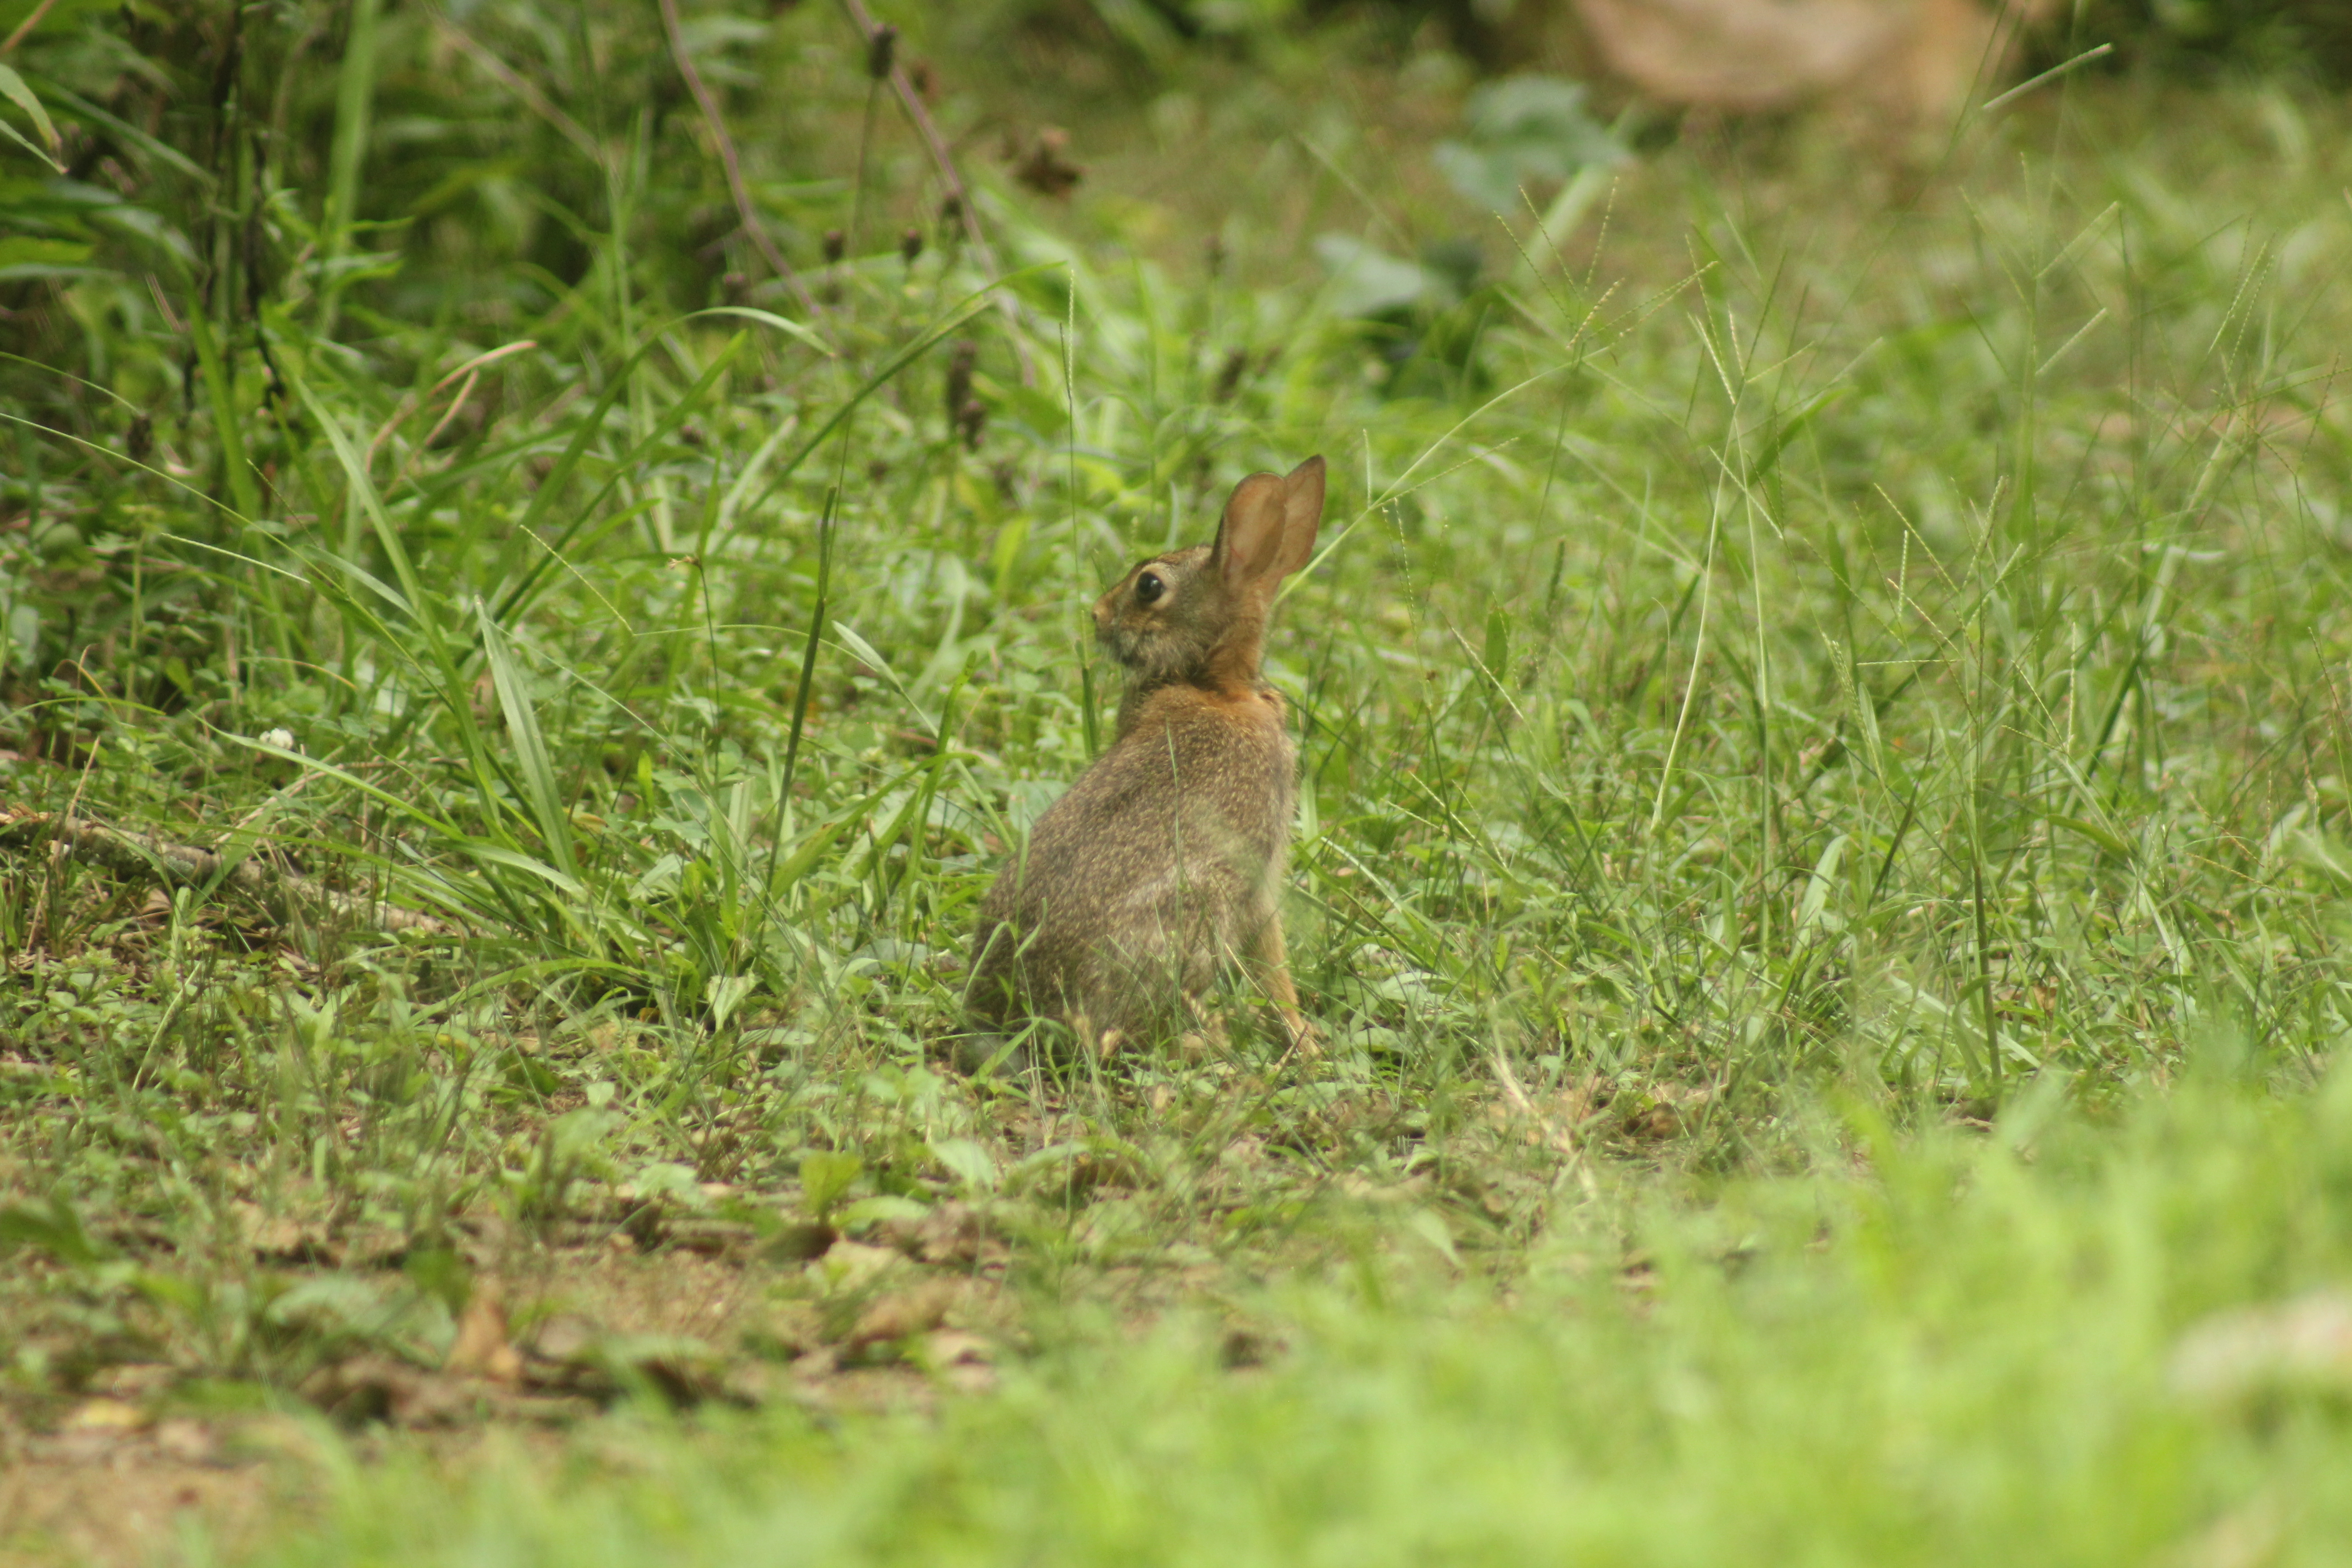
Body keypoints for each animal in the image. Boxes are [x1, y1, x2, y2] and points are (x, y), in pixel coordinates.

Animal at [965, 455, 1326, 1067]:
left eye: (1149, 586)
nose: (1096, 616)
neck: (1214, 683)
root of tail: (1015, 1016)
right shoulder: (1259, 874)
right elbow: (1271, 954)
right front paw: (1301, 1034)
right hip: (1194, 912)